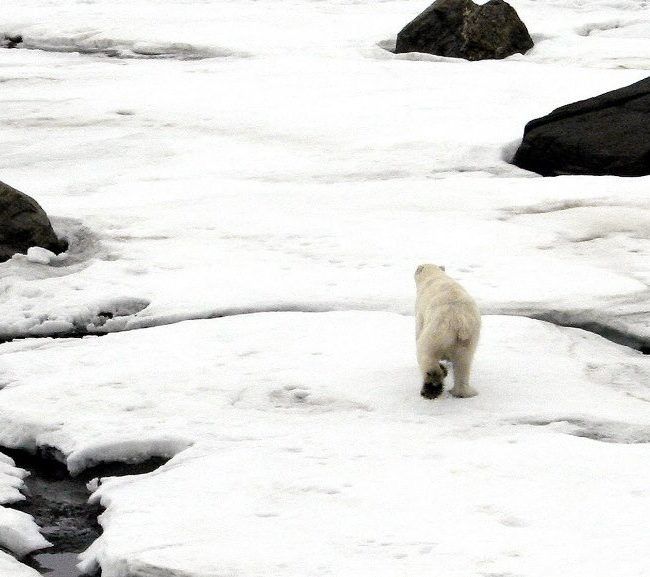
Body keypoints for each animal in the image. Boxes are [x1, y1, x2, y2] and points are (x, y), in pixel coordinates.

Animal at [412, 264, 478, 398]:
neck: (434, 276)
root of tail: (460, 320)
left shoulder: (420, 311)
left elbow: (418, 331)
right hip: (469, 338)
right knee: (463, 363)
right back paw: (462, 392)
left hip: (437, 331)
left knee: (426, 353)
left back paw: (433, 383)